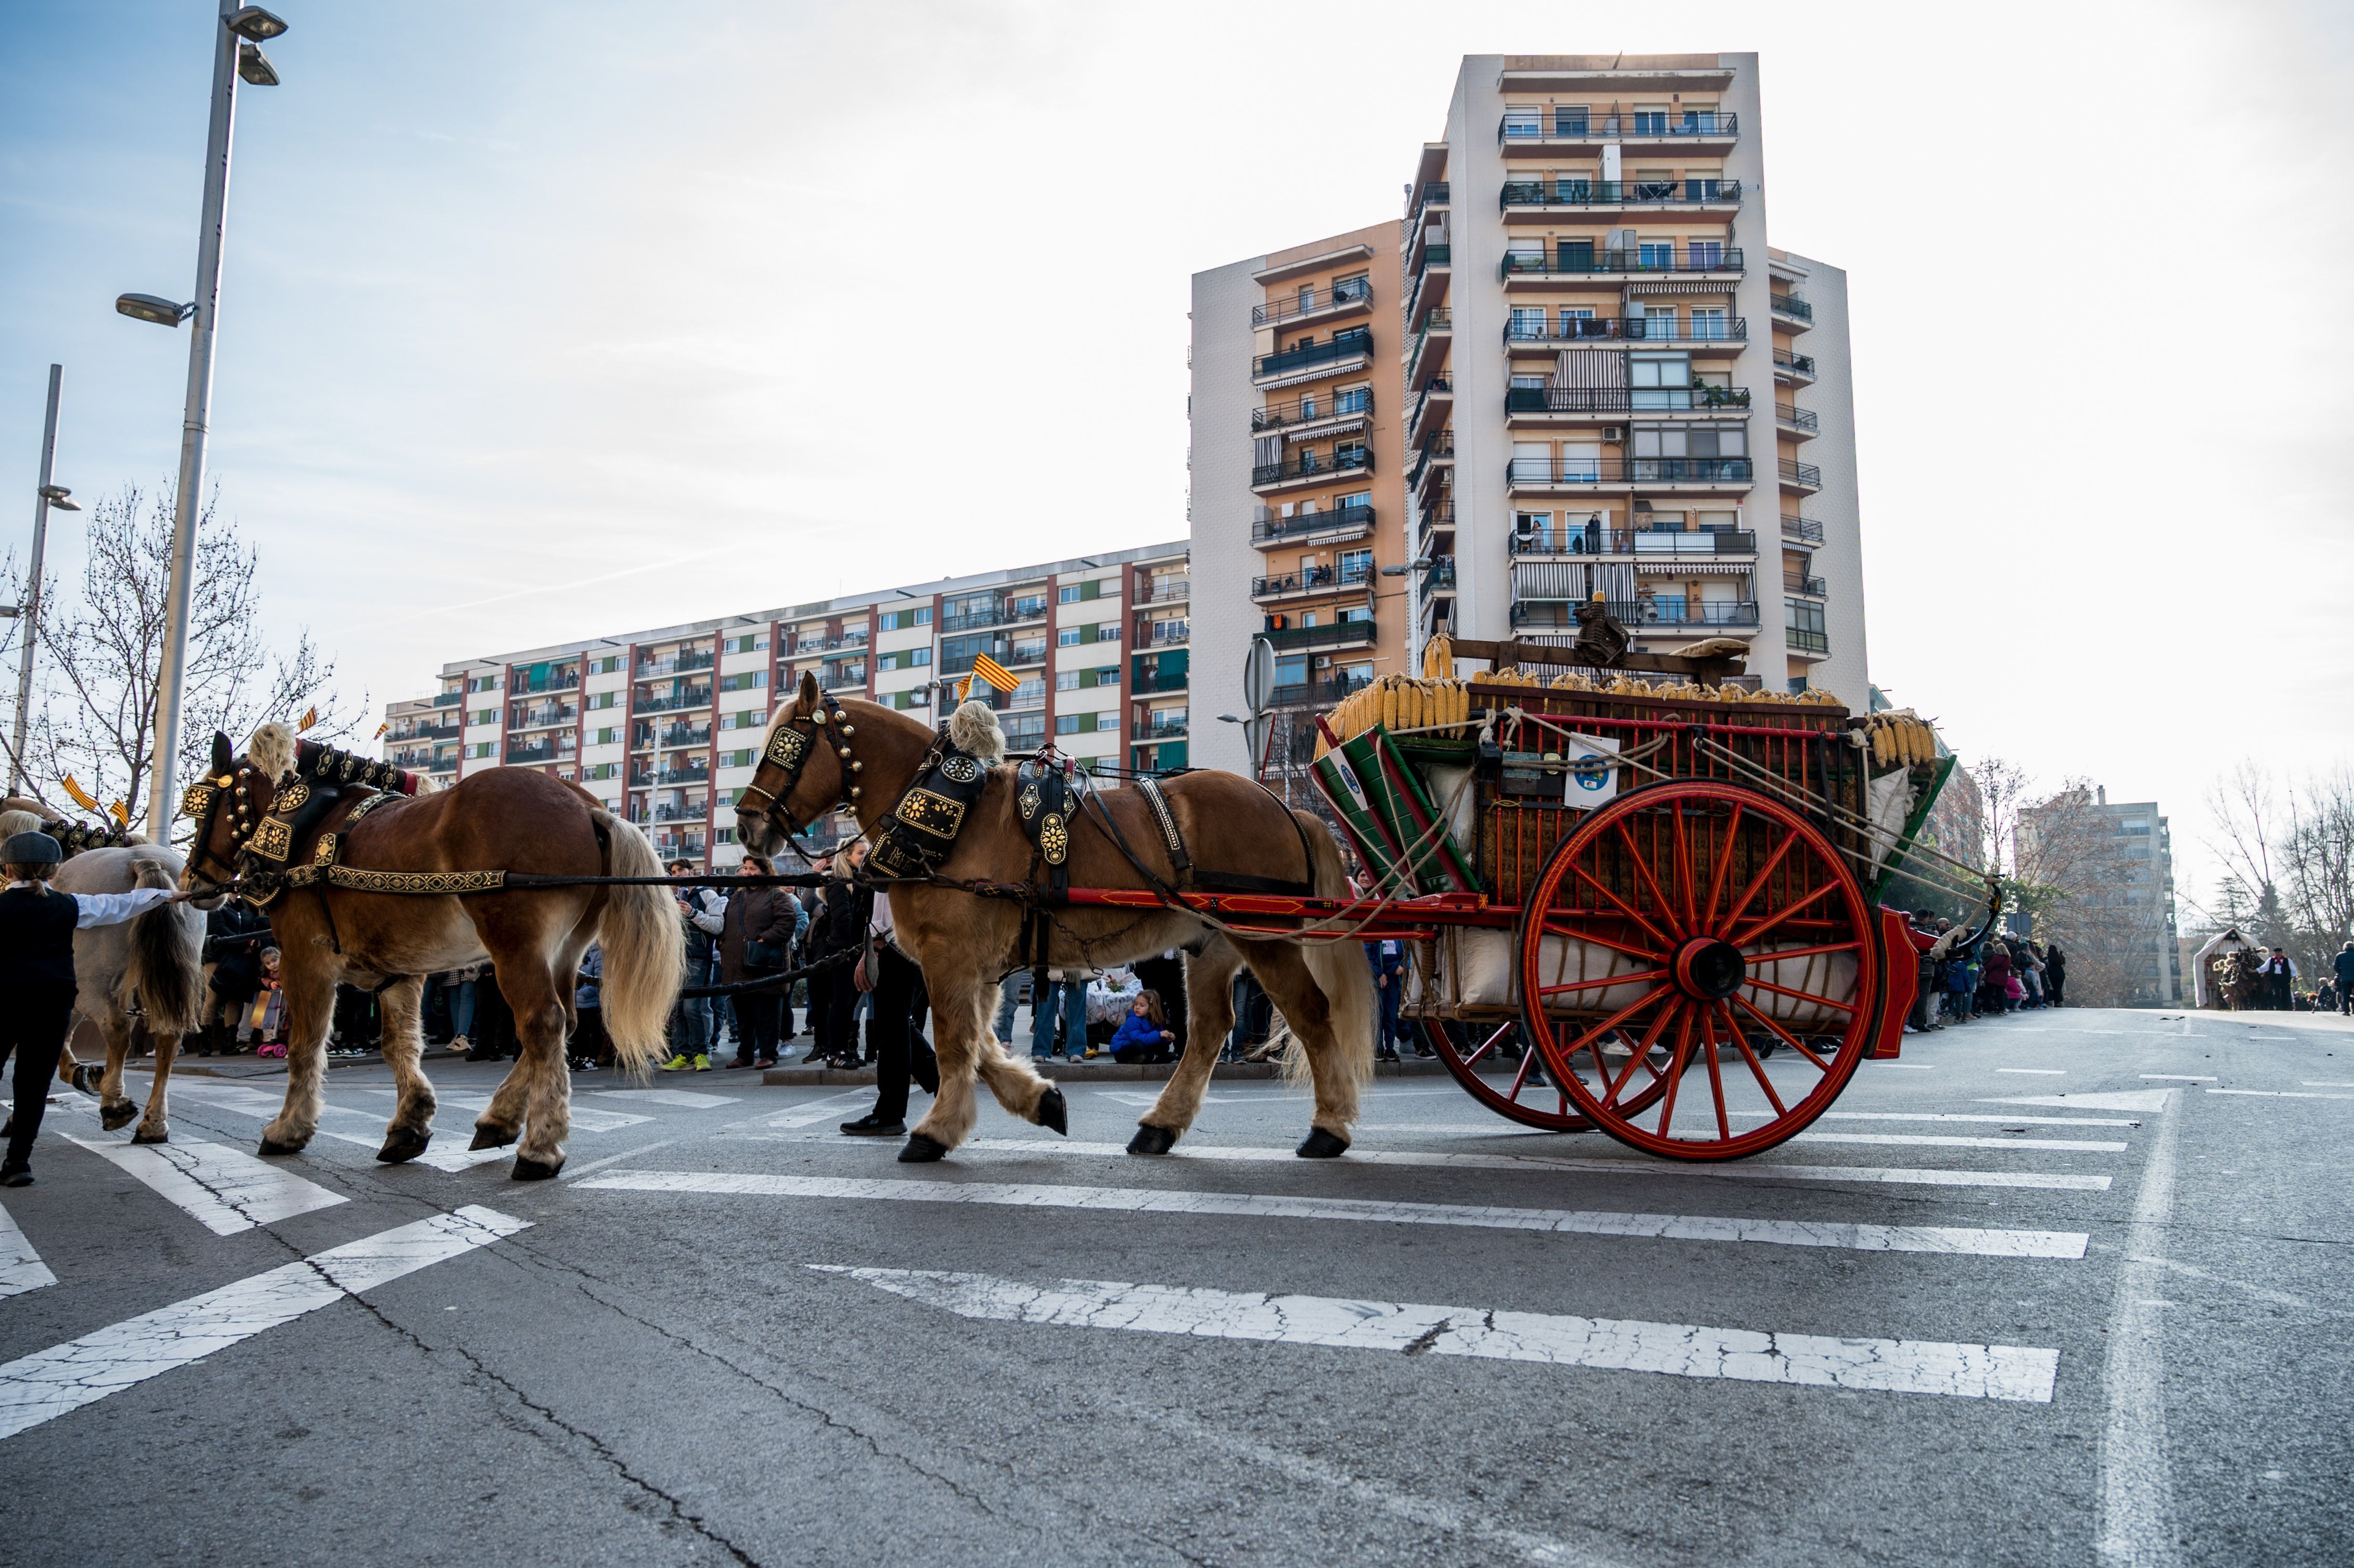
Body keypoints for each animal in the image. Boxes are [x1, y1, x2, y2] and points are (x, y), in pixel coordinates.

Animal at [184, 720, 683, 1172]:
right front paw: (410, 1123)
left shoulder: (304, 961)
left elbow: (305, 1046)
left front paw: (288, 1129)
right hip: (564, 950)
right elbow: (399, 1044)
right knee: (565, 1023)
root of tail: (586, 808)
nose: (193, 882)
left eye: (203, 807)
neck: (304, 832)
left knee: (542, 1023)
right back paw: (499, 1119)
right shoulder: (399, 971)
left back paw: (540, 1147)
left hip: (515, 946)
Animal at [734, 673, 1375, 1158]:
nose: (746, 826)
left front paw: (935, 1131)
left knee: (1310, 1015)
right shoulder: (979, 966)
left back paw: (1329, 1127)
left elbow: (955, 1045)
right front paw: (1040, 1101)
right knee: (1210, 1030)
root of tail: (1286, 807)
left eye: (785, 744)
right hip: (1212, 944)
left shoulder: (949, 956)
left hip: (1265, 937)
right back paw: (1160, 1126)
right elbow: (980, 1046)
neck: (950, 816)